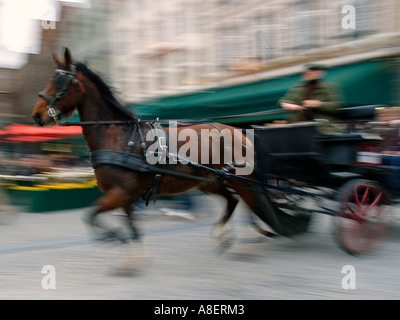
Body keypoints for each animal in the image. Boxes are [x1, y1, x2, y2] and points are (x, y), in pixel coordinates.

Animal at [31, 48, 308, 252]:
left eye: (60, 82)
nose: (36, 115)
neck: (119, 138)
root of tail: (240, 132)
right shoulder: (124, 195)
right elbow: (128, 226)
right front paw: (131, 254)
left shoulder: (121, 193)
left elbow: (91, 216)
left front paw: (114, 237)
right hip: (210, 181)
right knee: (233, 202)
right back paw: (226, 236)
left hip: (240, 181)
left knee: (250, 203)